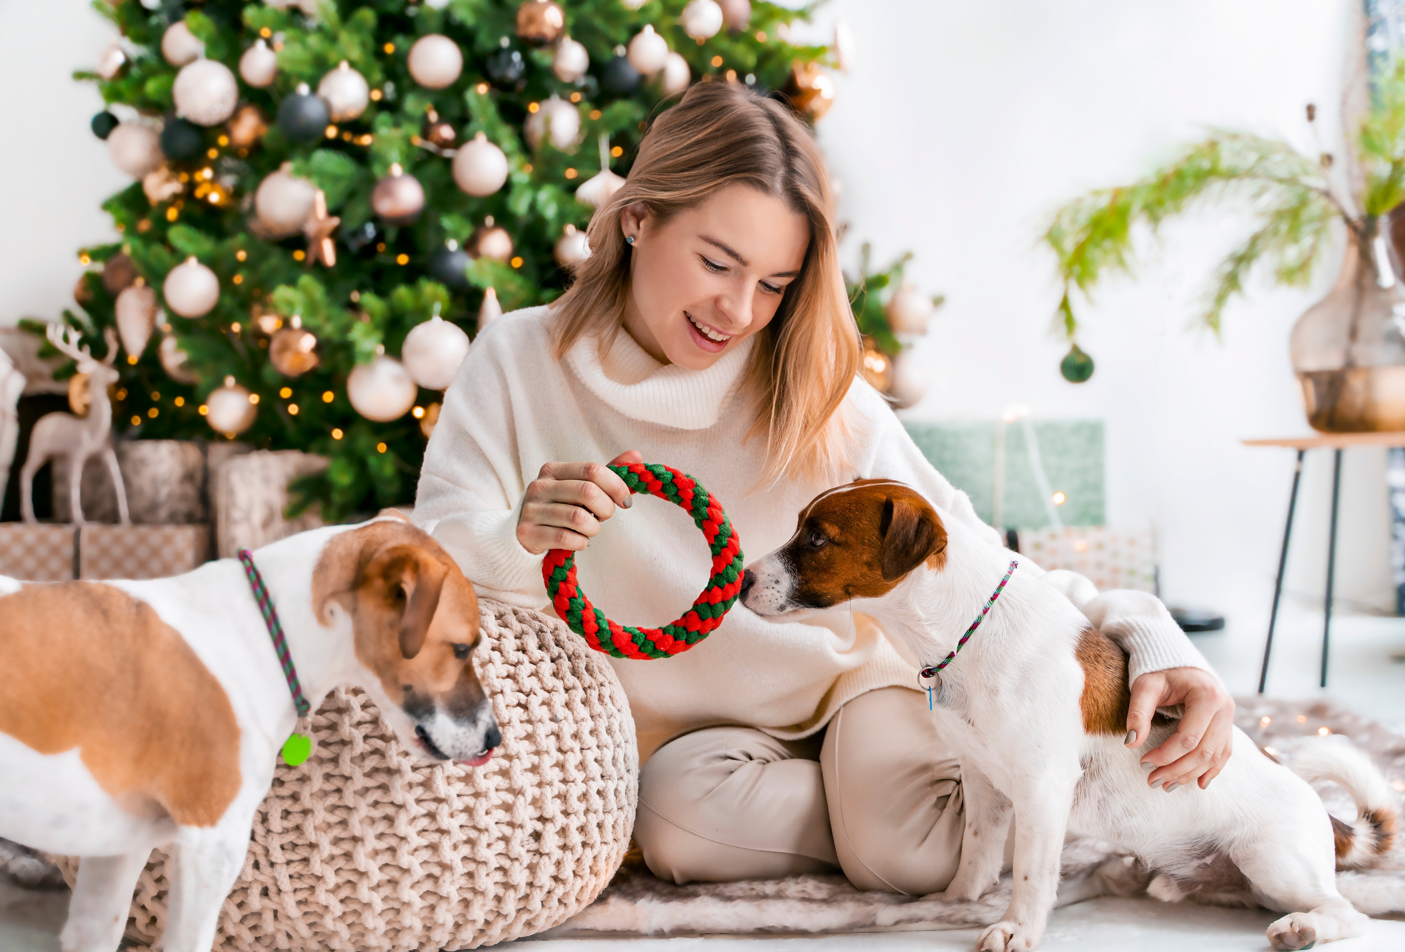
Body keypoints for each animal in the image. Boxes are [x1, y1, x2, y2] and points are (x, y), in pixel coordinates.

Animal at [741, 480, 1399, 952]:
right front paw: (956, 901)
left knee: (1347, 912)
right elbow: (977, 856)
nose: (741, 578)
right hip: (1245, 876)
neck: (964, 632)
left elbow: (1033, 874)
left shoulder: (1042, 789)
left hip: (1270, 858)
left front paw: (1017, 930)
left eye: (817, 539)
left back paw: (1304, 929)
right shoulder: (984, 783)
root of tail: (1330, 820)